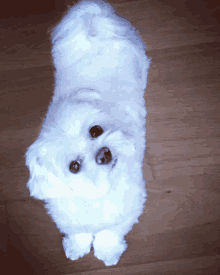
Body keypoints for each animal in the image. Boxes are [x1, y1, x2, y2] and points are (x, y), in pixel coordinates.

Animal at [25, 0, 150, 268]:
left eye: (95, 130)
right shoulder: (68, 218)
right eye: (74, 166)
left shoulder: (127, 210)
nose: (104, 153)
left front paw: (107, 251)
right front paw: (76, 247)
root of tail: (94, 28)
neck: (95, 199)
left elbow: (109, 233)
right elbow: (79, 232)